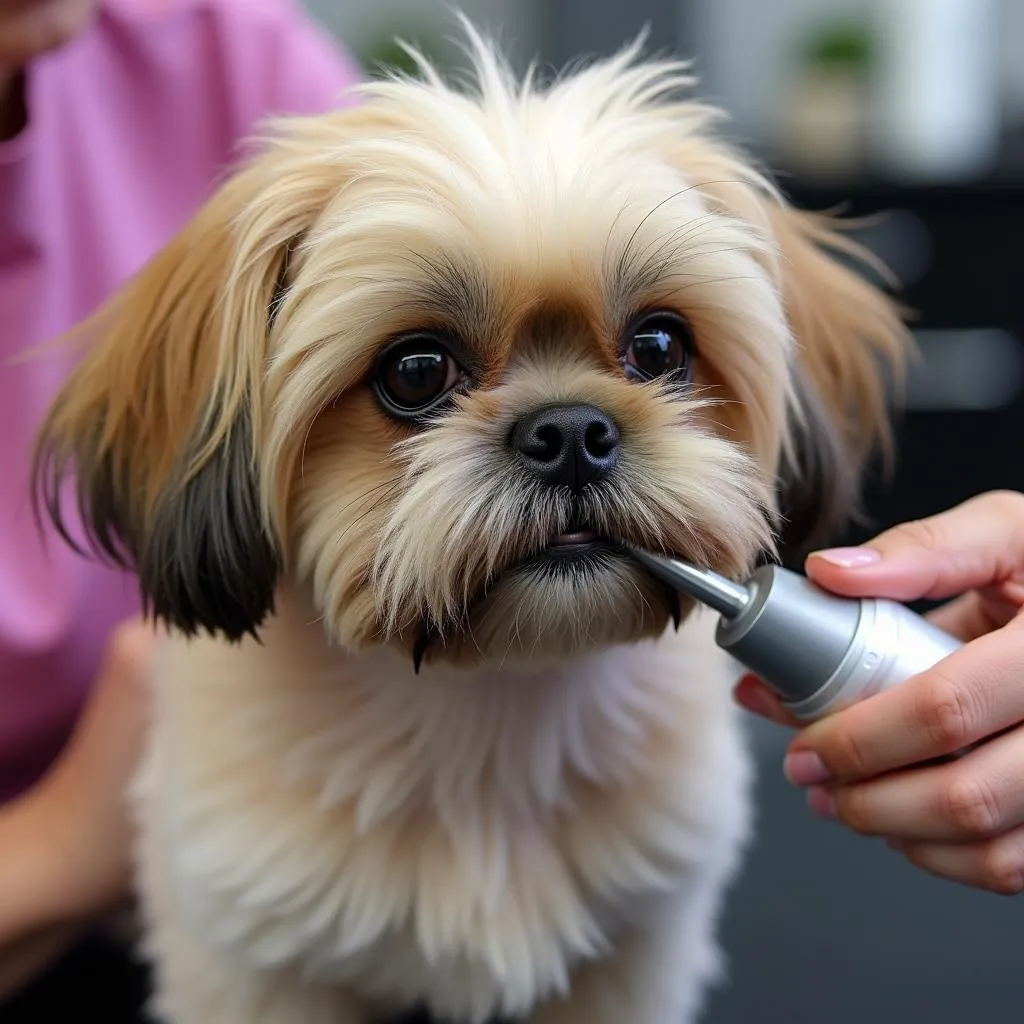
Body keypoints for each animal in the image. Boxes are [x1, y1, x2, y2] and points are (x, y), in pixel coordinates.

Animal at [36, 18, 909, 1024]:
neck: (489, 717)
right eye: (415, 372)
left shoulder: (629, 961)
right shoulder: (261, 971)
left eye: (659, 346)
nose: (570, 432)